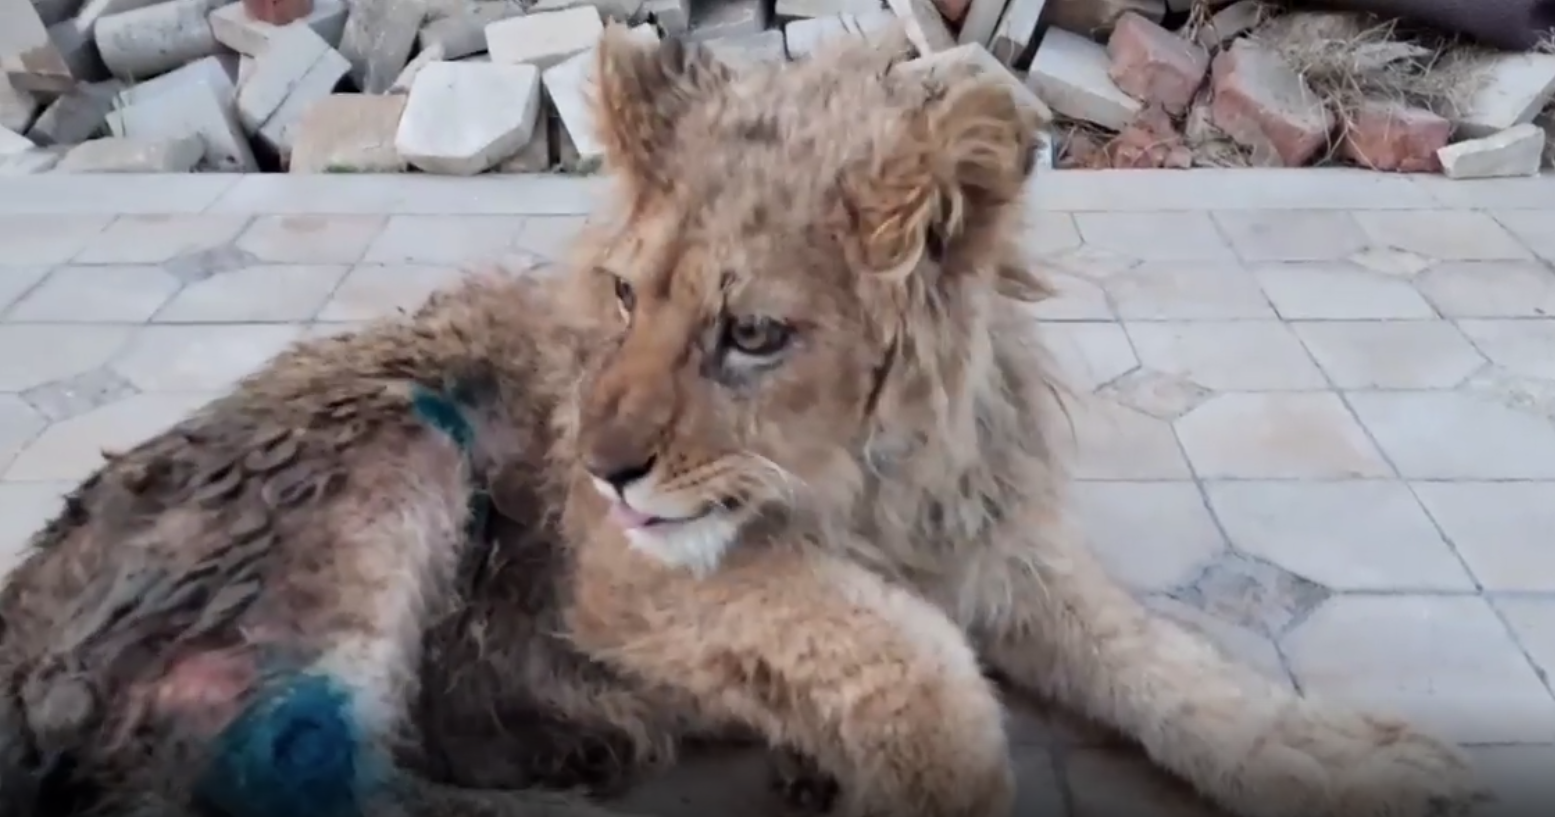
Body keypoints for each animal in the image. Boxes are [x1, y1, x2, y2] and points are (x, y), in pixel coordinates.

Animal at [0, 22, 1477, 817]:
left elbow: (1155, 655)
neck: (865, 484)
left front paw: (1333, 757)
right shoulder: (619, 574)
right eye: (619, 294)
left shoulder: (993, 537)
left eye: (751, 335)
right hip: (384, 452)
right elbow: (911, 660)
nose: (601, 469)